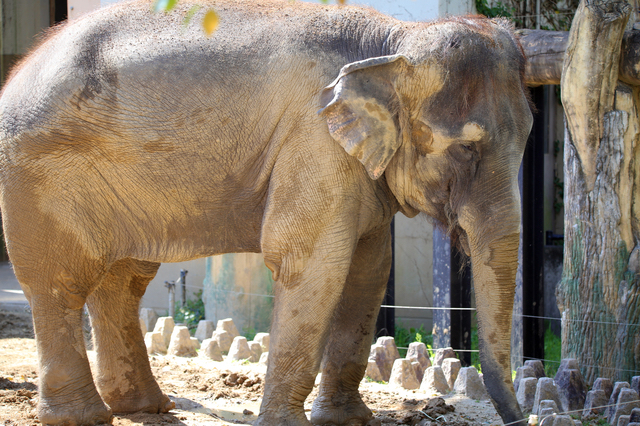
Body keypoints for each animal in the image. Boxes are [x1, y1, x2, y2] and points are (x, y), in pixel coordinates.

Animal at [0, 0, 532, 424]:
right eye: (466, 148)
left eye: (528, 136)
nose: (520, 419)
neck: (394, 42)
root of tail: (21, 68)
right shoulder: (314, 141)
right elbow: (311, 264)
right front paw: (291, 424)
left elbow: (369, 269)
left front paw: (348, 421)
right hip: (39, 173)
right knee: (62, 281)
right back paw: (82, 417)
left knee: (123, 281)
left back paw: (145, 407)